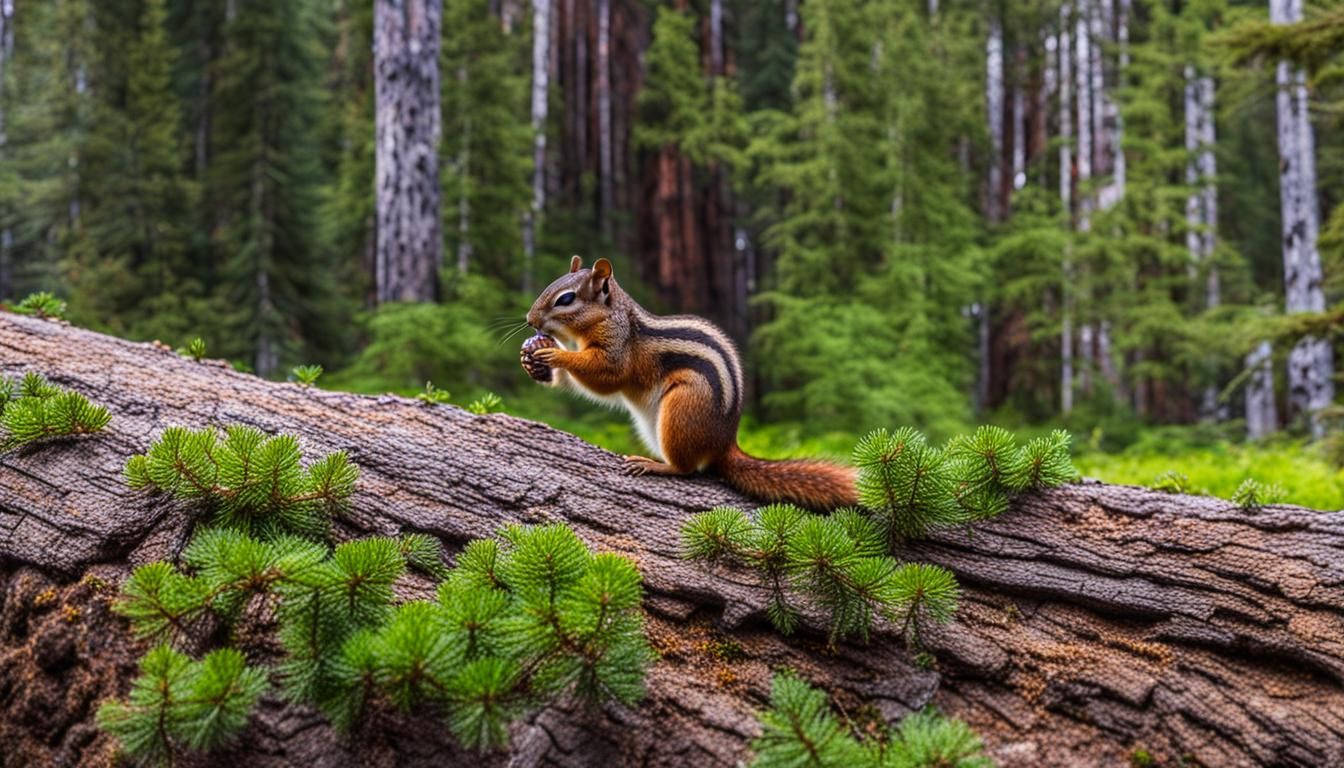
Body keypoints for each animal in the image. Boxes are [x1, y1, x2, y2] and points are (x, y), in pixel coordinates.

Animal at [522, 255, 858, 510]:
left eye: (566, 299)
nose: (529, 320)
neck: (612, 318)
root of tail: (725, 443)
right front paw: (536, 361)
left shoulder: (617, 352)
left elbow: (605, 377)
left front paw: (555, 354)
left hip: (681, 408)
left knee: (686, 469)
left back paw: (655, 465)